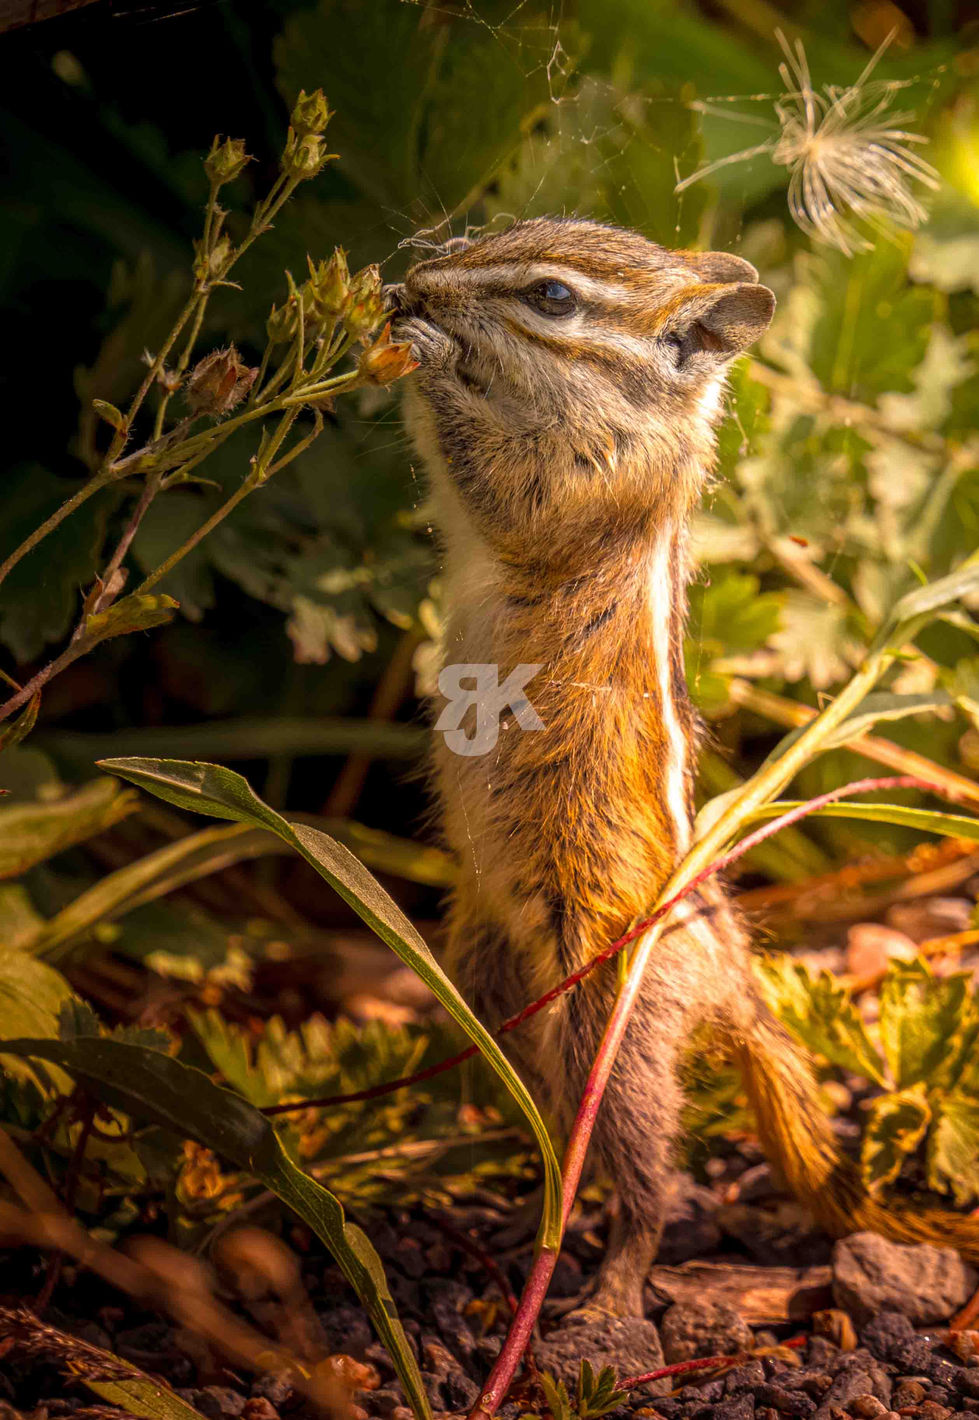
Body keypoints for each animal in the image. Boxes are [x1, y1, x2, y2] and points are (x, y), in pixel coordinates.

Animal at [389, 217, 979, 1318]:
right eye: (504, 230)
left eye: (551, 296)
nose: (415, 279)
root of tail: (735, 975)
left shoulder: (590, 483)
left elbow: (499, 486)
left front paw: (426, 351)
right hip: (490, 967)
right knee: (539, 1092)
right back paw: (519, 1195)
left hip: (607, 1011)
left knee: (646, 1172)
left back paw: (609, 1284)